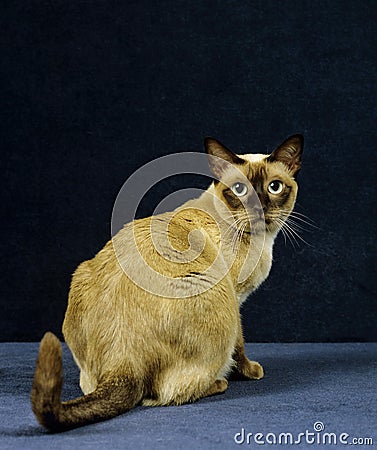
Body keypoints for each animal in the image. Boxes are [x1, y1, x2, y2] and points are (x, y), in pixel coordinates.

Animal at [30, 133, 304, 428]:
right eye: (240, 190)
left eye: (274, 187)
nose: (259, 207)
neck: (260, 240)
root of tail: (122, 361)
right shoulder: (237, 298)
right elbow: (240, 346)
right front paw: (250, 371)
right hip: (222, 302)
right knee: (169, 394)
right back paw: (219, 383)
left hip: (81, 274)